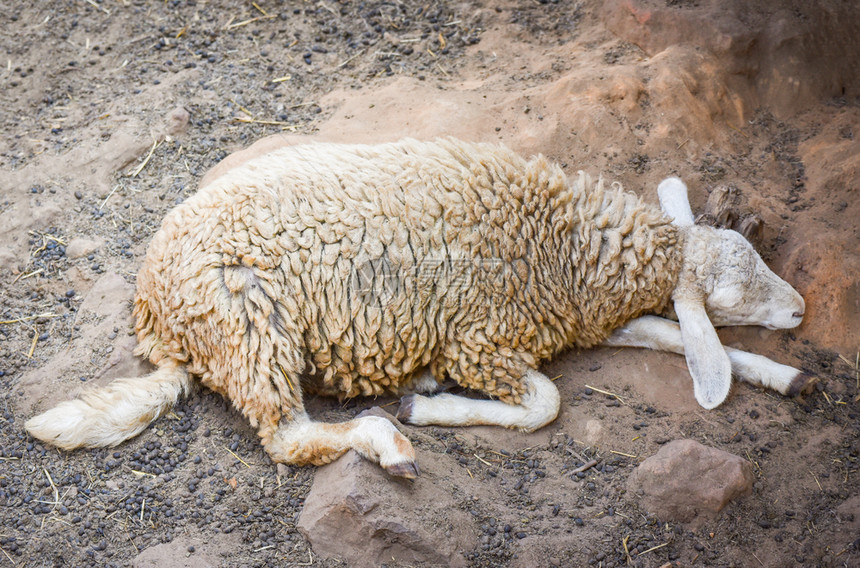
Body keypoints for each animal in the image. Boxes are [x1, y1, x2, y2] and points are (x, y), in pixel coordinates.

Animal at [23, 139, 808, 480]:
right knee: (290, 438)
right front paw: (431, 406)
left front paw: (781, 375)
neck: (565, 249)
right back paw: (390, 441)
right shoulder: (480, 341)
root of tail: (159, 326)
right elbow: (547, 403)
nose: (801, 312)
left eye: (756, 257)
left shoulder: (575, 320)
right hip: (249, 323)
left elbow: (668, 338)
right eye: (735, 294)